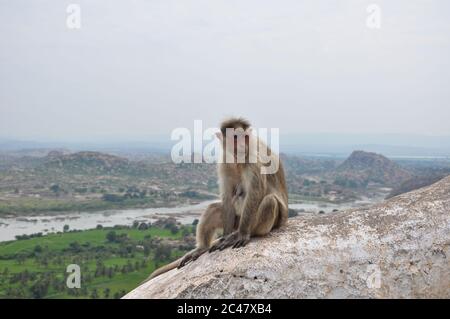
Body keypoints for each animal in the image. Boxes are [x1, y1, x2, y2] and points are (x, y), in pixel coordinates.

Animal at [142, 117, 288, 282]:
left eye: (244, 136)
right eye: (235, 137)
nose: (242, 145)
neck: (238, 158)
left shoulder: (253, 159)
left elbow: (255, 193)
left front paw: (242, 234)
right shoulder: (224, 161)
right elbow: (227, 196)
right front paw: (225, 237)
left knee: (269, 201)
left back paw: (248, 233)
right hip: (236, 220)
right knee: (213, 208)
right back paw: (204, 247)